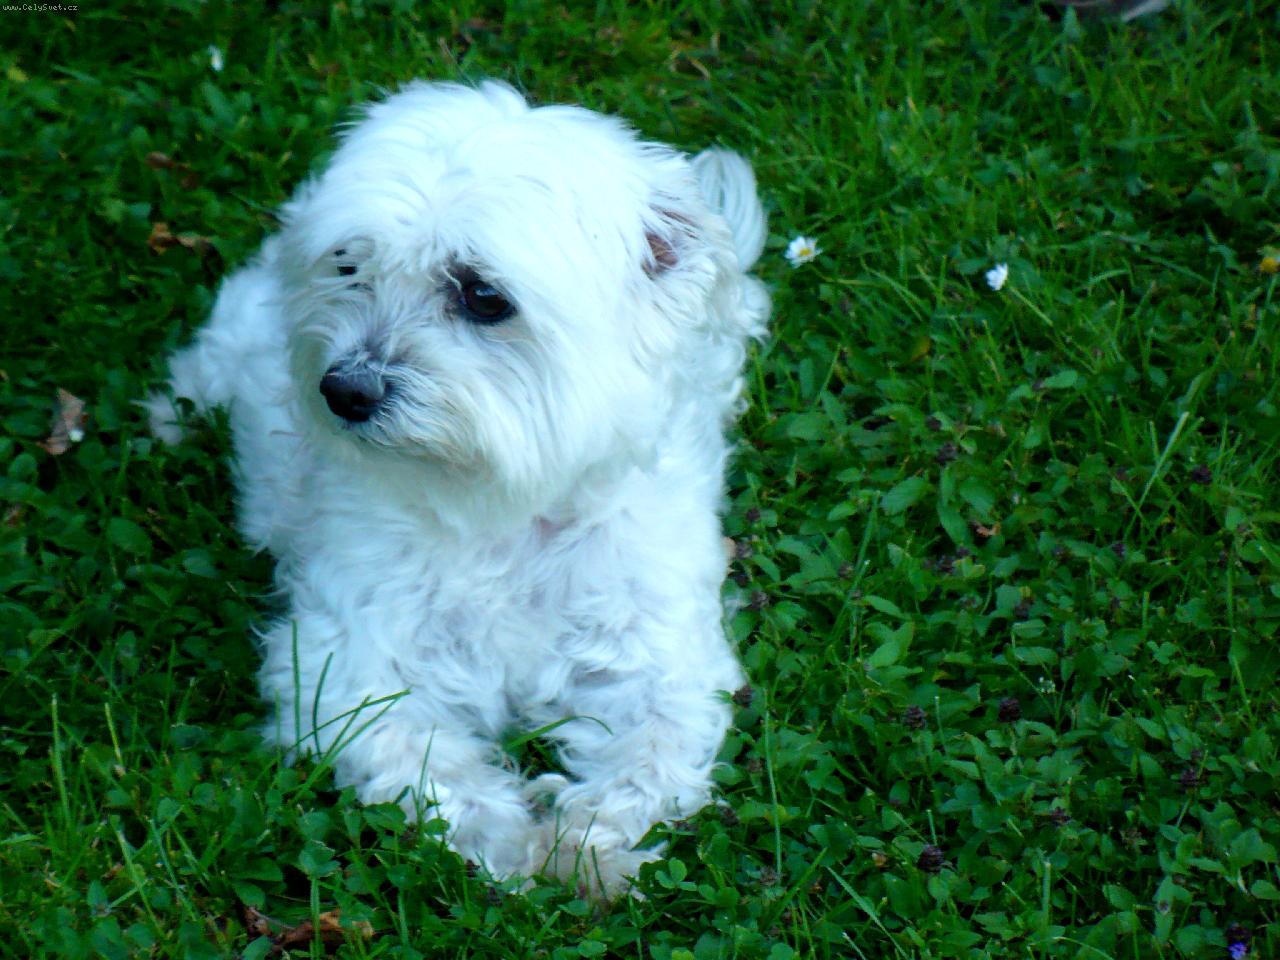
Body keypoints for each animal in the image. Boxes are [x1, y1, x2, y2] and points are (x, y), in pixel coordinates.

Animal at [147, 80, 770, 894]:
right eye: (348, 266)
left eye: (482, 295)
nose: (343, 391)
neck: (509, 507)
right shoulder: (347, 662)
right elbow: (425, 764)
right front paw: (507, 844)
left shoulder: (663, 658)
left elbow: (649, 762)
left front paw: (586, 849)